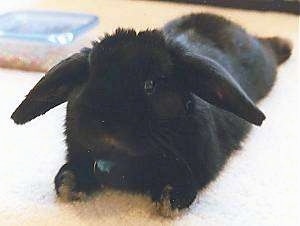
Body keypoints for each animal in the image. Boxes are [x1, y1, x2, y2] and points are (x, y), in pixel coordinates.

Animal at [11, 13, 290, 216]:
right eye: (88, 78)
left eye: (150, 84)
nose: (104, 123)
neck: (121, 158)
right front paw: (69, 183)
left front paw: (168, 198)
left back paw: (285, 45)